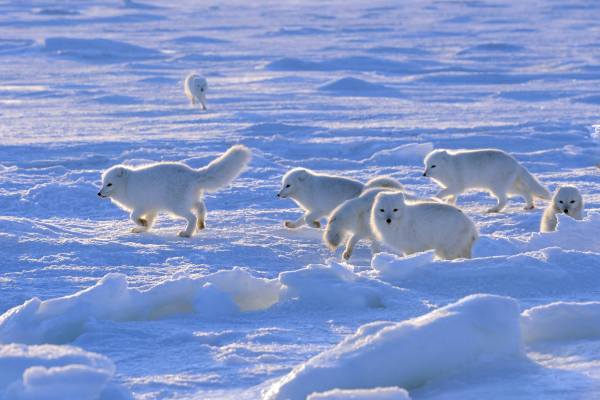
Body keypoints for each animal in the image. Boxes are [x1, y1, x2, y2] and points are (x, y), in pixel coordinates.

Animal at [98, 145, 251, 236]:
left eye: (109, 184)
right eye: (103, 183)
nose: (99, 194)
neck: (127, 184)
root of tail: (193, 174)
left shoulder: (142, 206)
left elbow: (133, 216)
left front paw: (142, 223)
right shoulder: (152, 208)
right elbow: (150, 222)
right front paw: (142, 228)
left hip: (175, 208)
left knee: (192, 216)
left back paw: (187, 233)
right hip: (187, 200)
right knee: (201, 206)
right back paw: (201, 224)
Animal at [420, 148, 552, 212]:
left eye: (433, 166)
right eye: (426, 165)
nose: (424, 174)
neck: (449, 166)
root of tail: (516, 163)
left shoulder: (457, 186)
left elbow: (442, 193)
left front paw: (435, 199)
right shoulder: (454, 188)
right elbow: (452, 198)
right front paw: (449, 205)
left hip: (496, 187)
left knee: (505, 200)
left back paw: (493, 210)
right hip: (508, 186)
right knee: (525, 191)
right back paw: (529, 206)